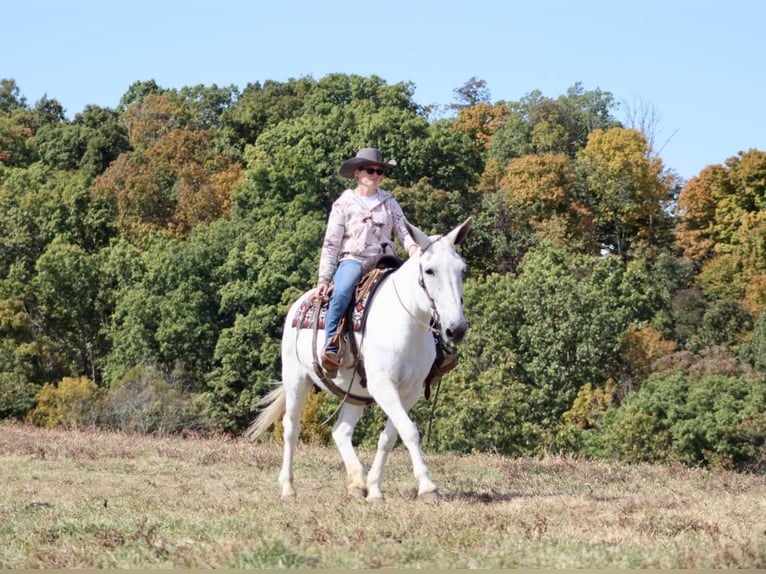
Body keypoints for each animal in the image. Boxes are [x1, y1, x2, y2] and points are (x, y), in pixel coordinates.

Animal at [249, 218, 472, 502]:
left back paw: (357, 483)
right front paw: (427, 486)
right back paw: (288, 487)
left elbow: (390, 436)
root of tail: (299, 304)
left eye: (462, 270)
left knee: (341, 431)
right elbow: (409, 430)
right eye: (429, 270)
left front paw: (375, 488)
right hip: (296, 379)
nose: (456, 329)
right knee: (291, 428)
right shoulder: (383, 386)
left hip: (354, 392)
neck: (405, 323)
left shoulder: (409, 391)